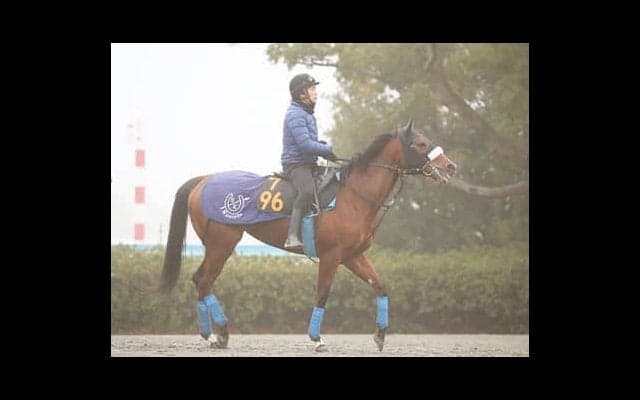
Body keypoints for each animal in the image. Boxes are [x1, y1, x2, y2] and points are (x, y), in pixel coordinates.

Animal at [157, 119, 457, 352]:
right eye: (420, 143)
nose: (451, 166)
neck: (353, 196)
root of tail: (203, 180)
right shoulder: (331, 256)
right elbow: (322, 293)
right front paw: (316, 338)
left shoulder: (353, 256)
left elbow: (380, 285)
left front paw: (381, 334)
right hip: (222, 242)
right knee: (204, 280)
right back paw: (216, 334)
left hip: (217, 244)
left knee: (201, 280)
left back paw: (215, 335)